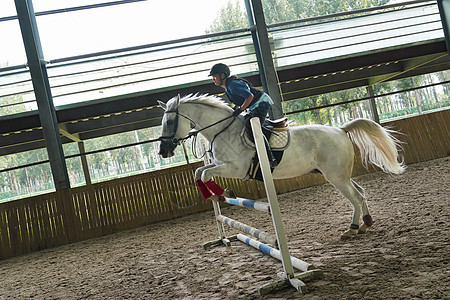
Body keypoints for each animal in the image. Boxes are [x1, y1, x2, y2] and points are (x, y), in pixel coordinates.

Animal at [158, 94, 404, 239]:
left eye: (169, 122)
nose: (163, 151)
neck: (222, 130)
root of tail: (341, 130)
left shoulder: (235, 169)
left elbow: (204, 173)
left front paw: (221, 192)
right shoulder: (220, 165)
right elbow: (199, 172)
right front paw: (217, 194)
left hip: (336, 177)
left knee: (355, 197)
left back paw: (352, 229)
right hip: (340, 174)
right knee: (360, 193)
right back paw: (366, 224)